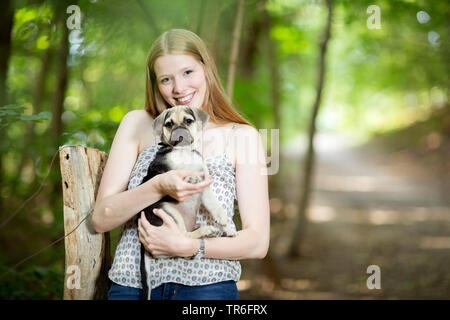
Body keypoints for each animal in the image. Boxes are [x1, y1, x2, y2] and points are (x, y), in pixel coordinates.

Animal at [135, 105, 236, 300]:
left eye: (188, 121)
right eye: (169, 124)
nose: (180, 134)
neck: (184, 152)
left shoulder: (205, 189)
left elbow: (215, 206)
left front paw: (224, 222)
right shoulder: (164, 173)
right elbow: (179, 172)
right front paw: (190, 176)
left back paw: (219, 231)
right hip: (167, 210)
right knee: (182, 236)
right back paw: (207, 230)